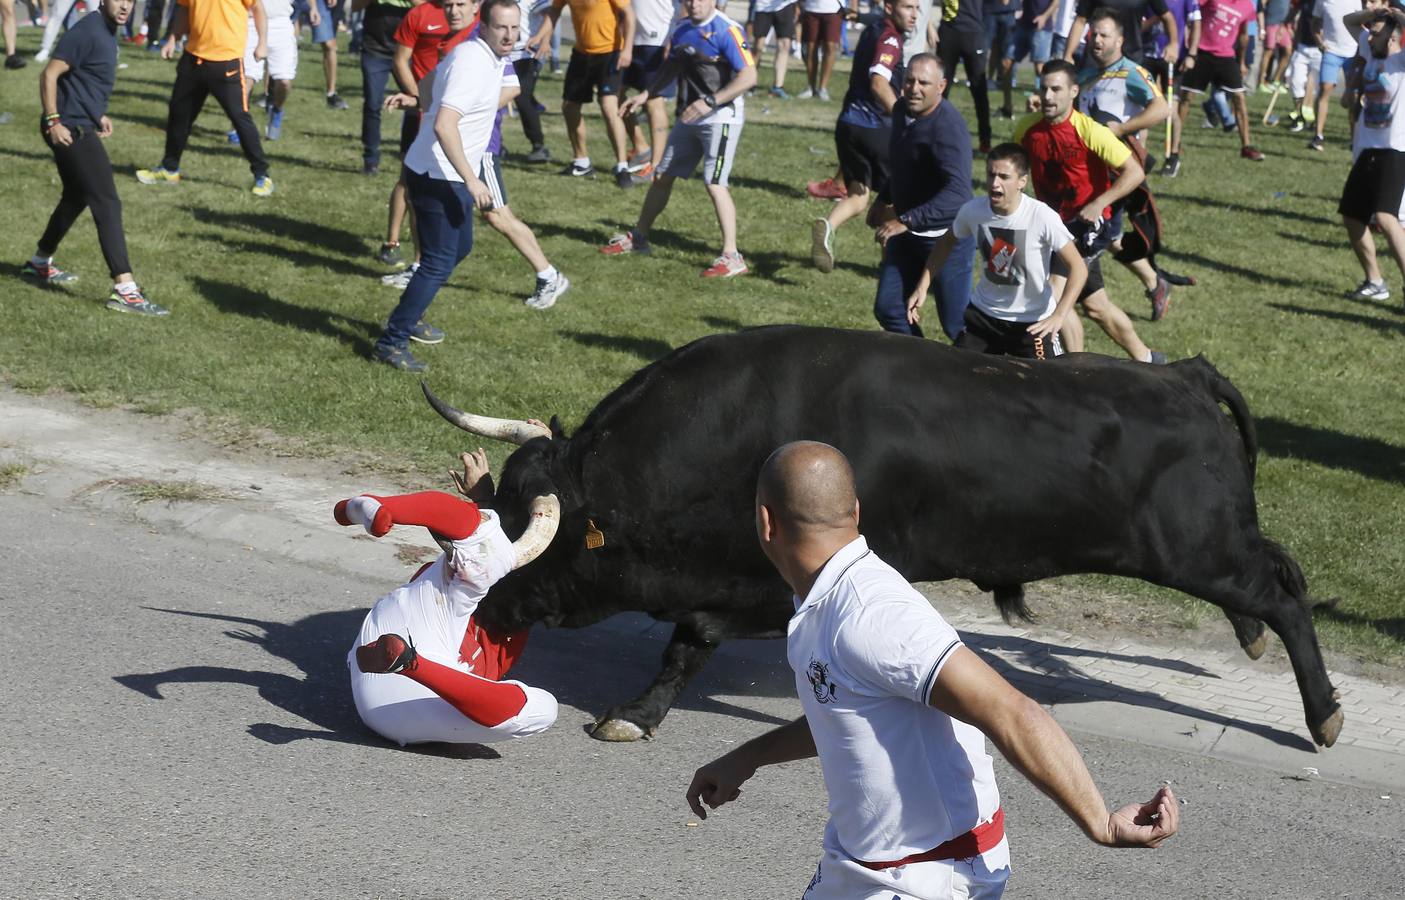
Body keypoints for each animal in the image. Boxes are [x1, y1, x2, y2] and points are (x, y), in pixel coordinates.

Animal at [424, 322, 1337, 741]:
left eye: (539, 534)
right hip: (1207, 546)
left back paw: (1321, 713)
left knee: (1284, 591)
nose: (488, 610)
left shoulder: (762, 584)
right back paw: (1253, 642)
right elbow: (687, 643)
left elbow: (688, 643)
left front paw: (636, 711)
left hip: (1196, 547)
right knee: (1275, 579)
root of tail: (1179, 372)